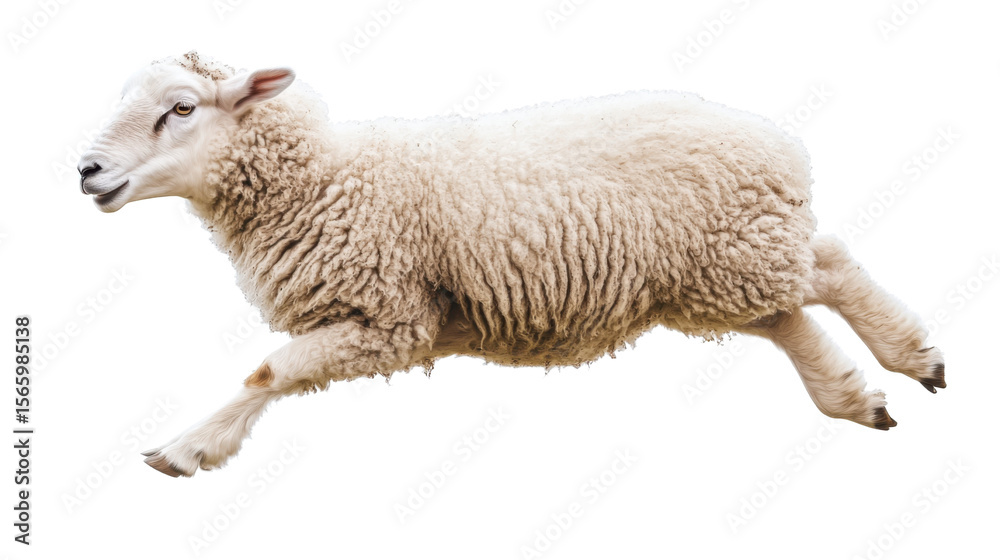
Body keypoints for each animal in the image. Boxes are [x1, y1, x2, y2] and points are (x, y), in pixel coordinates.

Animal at [78, 52, 945, 478]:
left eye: (181, 108)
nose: (86, 171)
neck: (325, 179)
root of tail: (779, 145)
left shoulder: (390, 319)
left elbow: (269, 371)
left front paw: (189, 449)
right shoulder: (388, 321)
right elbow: (274, 371)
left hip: (732, 246)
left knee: (827, 270)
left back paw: (912, 356)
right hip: (716, 268)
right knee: (792, 307)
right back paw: (863, 394)